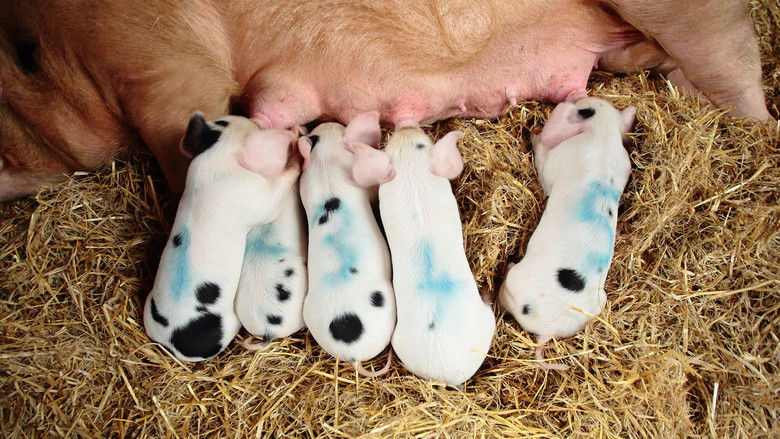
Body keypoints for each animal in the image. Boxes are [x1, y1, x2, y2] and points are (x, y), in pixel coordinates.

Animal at [143, 114, 300, 362]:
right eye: (256, 127)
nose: (256, 118)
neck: (214, 163)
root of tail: (171, 341)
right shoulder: (256, 196)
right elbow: (274, 198)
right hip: (230, 321)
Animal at [499, 96, 635, 370]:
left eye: (581, 106)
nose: (577, 95)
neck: (603, 136)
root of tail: (548, 329)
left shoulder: (558, 161)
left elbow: (544, 170)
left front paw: (533, 135)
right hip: (599, 302)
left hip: (515, 284)